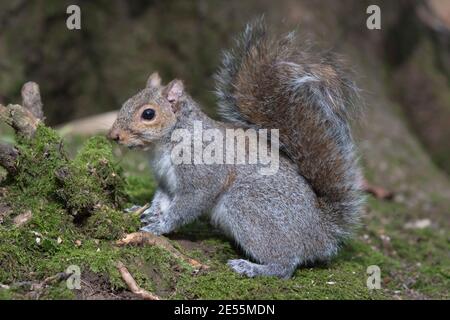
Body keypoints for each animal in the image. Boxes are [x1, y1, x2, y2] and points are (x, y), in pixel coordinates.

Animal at [108, 20, 362, 278]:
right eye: (126, 102)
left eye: (148, 114)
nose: (113, 135)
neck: (166, 143)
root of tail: (320, 234)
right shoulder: (166, 180)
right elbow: (162, 198)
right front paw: (147, 211)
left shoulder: (202, 171)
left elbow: (189, 203)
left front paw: (160, 225)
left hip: (248, 206)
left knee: (285, 265)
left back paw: (252, 267)